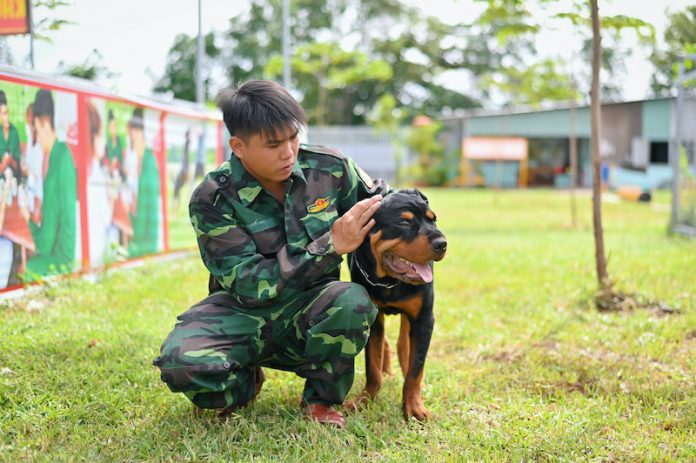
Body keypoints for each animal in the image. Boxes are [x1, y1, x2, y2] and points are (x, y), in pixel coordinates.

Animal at [346, 188, 446, 420]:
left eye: (433, 219)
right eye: (404, 223)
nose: (442, 243)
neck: (389, 281)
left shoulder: (424, 319)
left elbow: (415, 369)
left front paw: (414, 407)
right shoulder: (372, 316)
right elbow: (372, 364)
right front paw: (364, 400)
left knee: (405, 341)